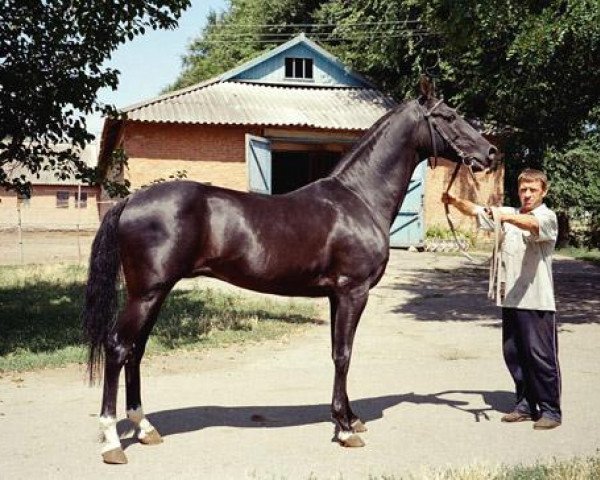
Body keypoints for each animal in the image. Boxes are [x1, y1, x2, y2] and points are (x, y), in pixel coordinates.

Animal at [83, 79, 496, 464]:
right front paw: (345, 430)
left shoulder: (336, 295)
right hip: (146, 293)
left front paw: (348, 418)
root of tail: (130, 200)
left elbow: (337, 352)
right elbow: (344, 354)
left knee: (136, 351)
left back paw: (145, 428)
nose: (490, 153)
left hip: (155, 293)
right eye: (449, 116)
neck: (359, 199)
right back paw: (112, 442)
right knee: (118, 348)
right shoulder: (353, 292)